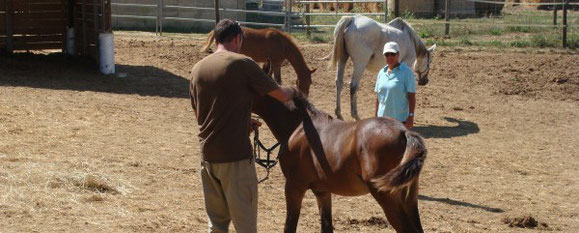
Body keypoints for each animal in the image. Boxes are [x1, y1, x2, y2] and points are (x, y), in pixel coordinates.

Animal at [254, 86, 426, 232]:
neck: (299, 126)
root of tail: (404, 131)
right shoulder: (322, 191)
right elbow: (326, 226)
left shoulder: (294, 186)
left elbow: (290, 226)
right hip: (409, 199)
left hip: (386, 196)